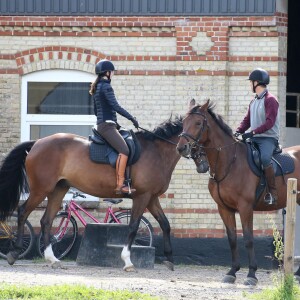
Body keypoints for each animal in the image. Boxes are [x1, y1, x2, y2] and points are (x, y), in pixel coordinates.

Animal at [0, 116, 183, 270]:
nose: (185, 148)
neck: (156, 151)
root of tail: (37, 142)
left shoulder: (151, 198)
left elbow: (165, 224)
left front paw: (169, 259)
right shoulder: (142, 196)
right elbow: (133, 226)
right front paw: (128, 261)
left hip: (58, 189)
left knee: (46, 221)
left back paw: (52, 258)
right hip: (40, 189)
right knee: (23, 212)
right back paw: (15, 252)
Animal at [176, 99, 300, 286]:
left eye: (198, 123)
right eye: (183, 122)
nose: (181, 147)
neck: (230, 162)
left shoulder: (245, 207)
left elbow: (248, 239)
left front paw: (251, 275)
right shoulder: (224, 208)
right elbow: (232, 239)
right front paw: (232, 272)